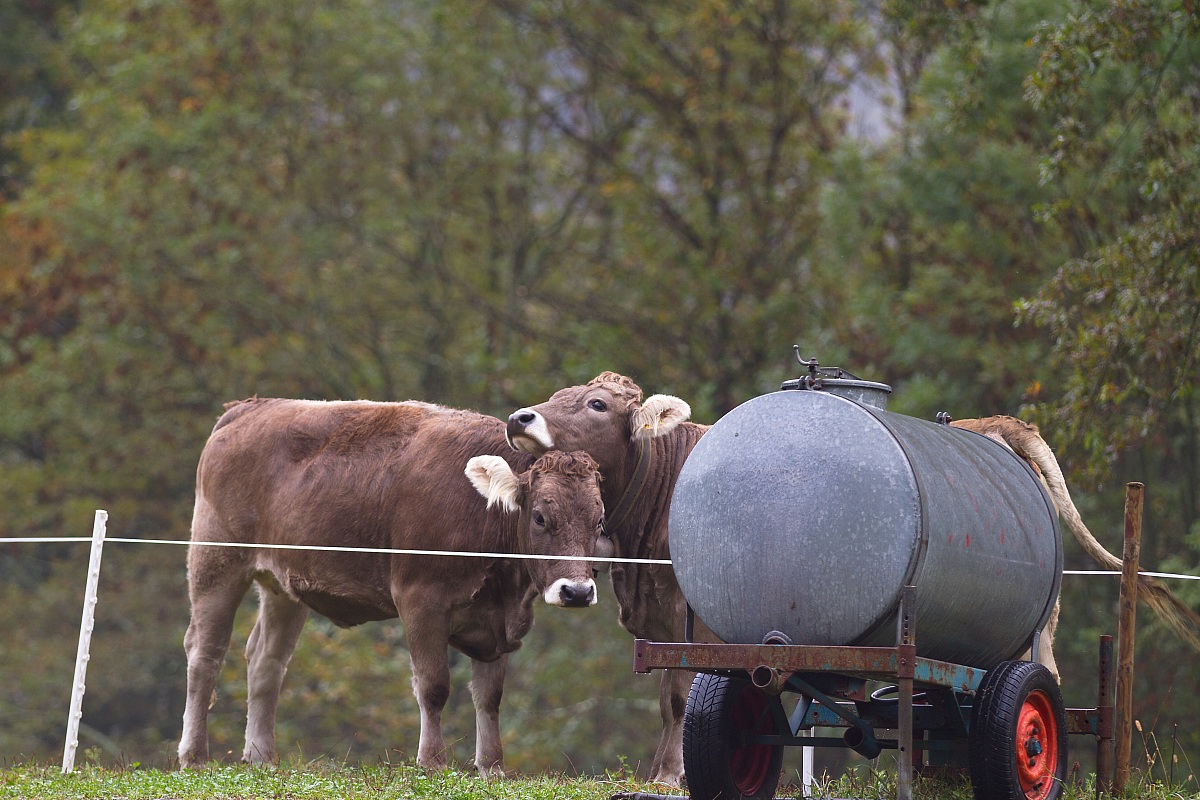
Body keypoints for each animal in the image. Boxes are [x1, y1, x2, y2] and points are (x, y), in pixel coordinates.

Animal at [178, 397, 605, 776]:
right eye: (539, 517)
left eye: (599, 521)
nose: (577, 592)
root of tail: (249, 407)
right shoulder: (420, 601)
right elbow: (434, 686)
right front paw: (432, 761)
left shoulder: (498, 622)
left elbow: (489, 697)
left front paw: (492, 767)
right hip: (216, 561)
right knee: (205, 653)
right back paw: (194, 756)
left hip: (282, 586)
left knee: (266, 660)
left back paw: (260, 756)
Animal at [507, 373, 1200, 786]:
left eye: (596, 404)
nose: (519, 418)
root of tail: (1001, 428)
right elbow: (681, 697)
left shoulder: (693, 624)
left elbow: (678, 698)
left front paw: (669, 776)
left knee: (1025, 689)